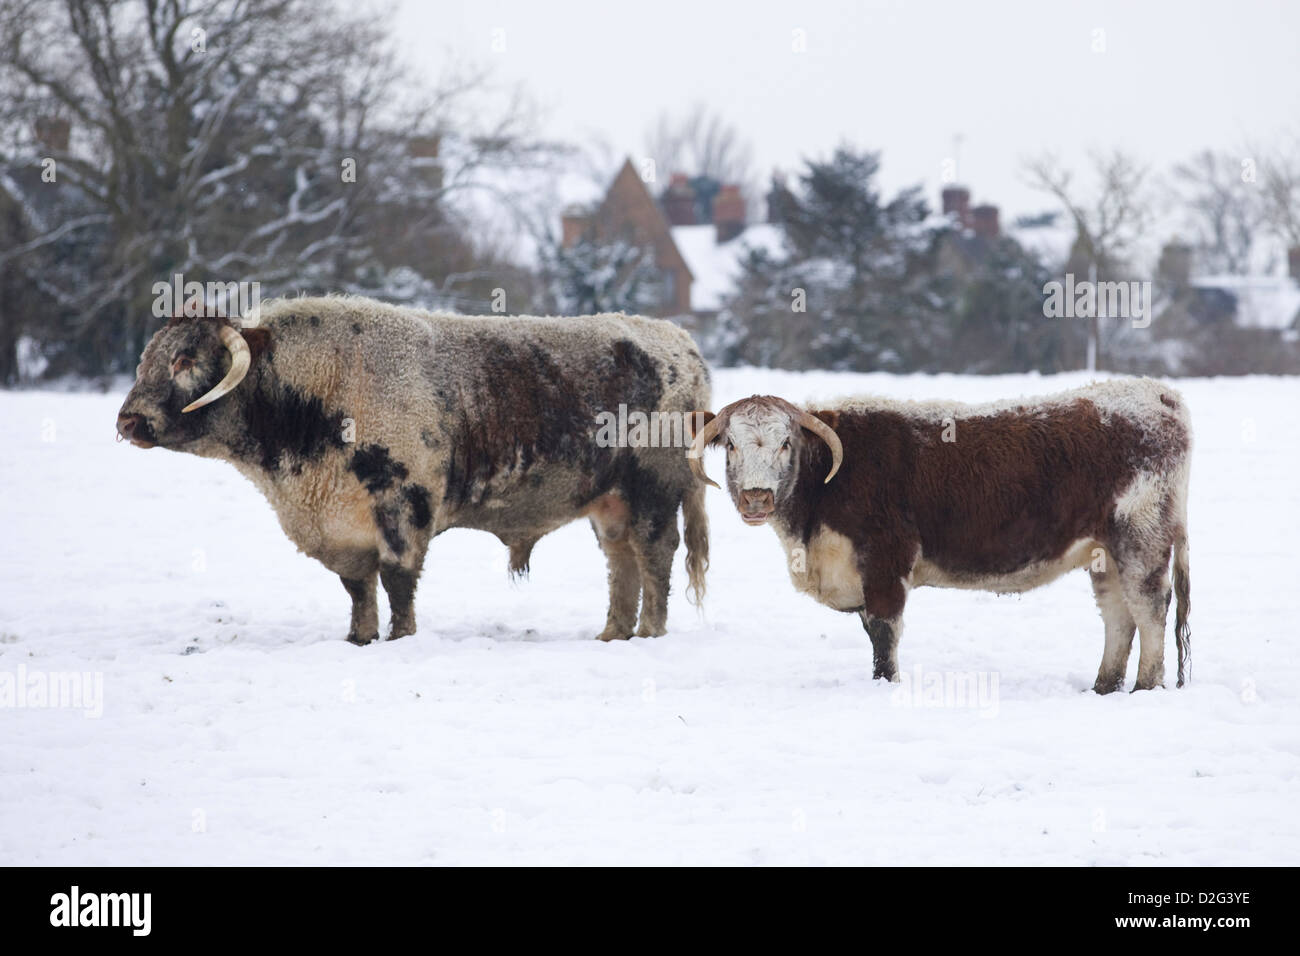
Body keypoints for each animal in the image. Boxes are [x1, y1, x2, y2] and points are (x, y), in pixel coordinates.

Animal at [116, 296, 710, 645]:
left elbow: (398, 583)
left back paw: (650, 632)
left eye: (185, 359)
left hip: (653, 493)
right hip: (609, 504)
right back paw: (613, 633)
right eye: (148, 358)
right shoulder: (345, 529)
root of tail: (680, 343)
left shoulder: (402, 509)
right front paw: (358, 639)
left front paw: (401, 639)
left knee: (655, 555)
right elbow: (358, 590)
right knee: (621, 562)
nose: (128, 420)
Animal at [687, 380, 1192, 693]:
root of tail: (1160, 394)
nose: (756, 497)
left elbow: (883, 634)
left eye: (785, 442)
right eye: (730, 445)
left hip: (1141, 539)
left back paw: (1146, 686)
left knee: (1149, 608)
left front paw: (884, 686)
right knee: (1117, 617)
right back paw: (1104, 687)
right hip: (1104, 552)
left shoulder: (885, 561)